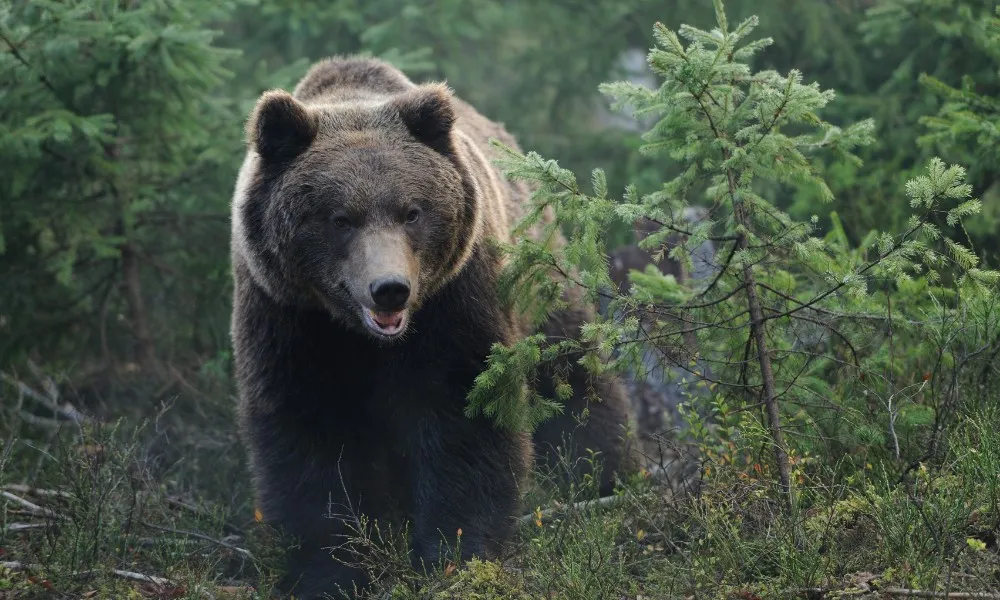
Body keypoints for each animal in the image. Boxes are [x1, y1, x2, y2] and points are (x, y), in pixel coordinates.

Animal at [230, 57, 628, 600]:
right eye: (339, 218)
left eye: (411, 211)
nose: (389, 289)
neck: (366, 339)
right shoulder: (288, 318)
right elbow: (309, 435)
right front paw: (331, 570)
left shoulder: (454, 303)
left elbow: (464, 419)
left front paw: (455, 554)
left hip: (539, 284)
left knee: (576, 382)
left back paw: (614, 478)